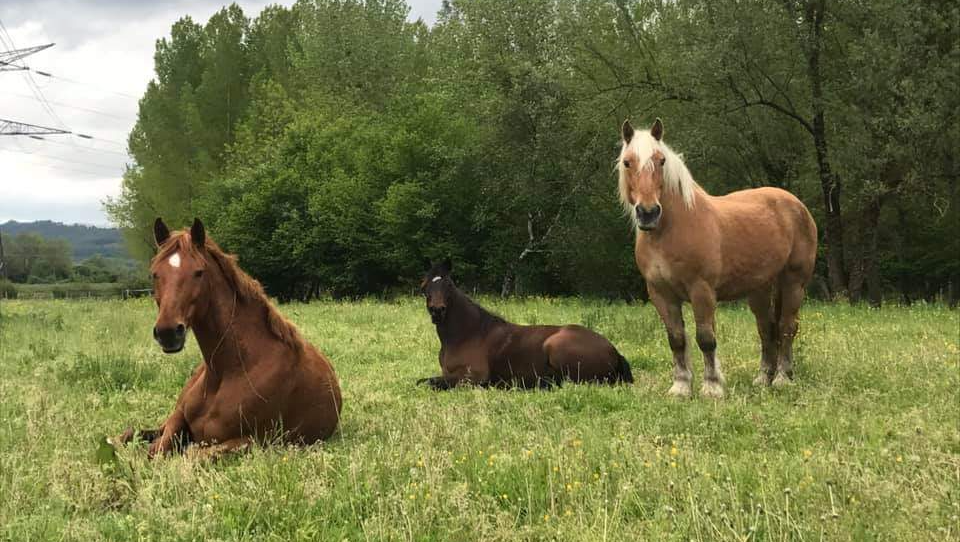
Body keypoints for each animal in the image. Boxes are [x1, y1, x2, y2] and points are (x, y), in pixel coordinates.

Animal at [117, 218, 342, 457]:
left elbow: (188, 455)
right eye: (154, 273)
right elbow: (155, 449)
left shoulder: (253, 441)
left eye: (199, 272)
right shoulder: (177, 421)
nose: (168, 332)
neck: (232, 369)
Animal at [416, 259, 633, 389]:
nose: (437, 311)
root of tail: (614, 352)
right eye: (424, 286)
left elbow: (431, 382)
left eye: (449, 285)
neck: (468, 335)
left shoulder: (475, 376)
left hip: (557, 346)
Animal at [616, 118, 817, 398]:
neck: (670, 230)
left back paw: (782, 378)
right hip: (760, 289)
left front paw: (712, 386)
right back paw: (763, 378)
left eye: (661, 160)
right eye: (627, 162)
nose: (648, 212)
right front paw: (680, 387)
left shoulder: (701, 291)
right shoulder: (661, 294)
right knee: (766, 328)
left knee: (787, 327)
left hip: (793, 283)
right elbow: (676, 339)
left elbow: (706, 339)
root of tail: (796, 205)